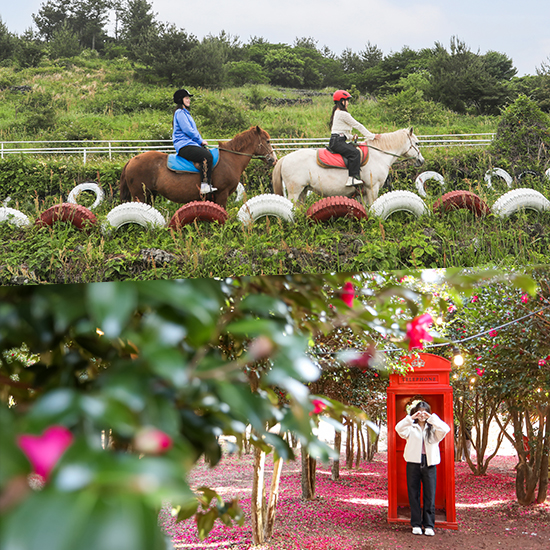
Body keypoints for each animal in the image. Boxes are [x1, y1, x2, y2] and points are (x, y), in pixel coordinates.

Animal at [119, 126, 278, 208]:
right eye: (268, 141)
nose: (274, 159)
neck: (230, 159)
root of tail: (131, 160)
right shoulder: (222, 194)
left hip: (150, 195)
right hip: (140, 196)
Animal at [272, 127, 426, 207]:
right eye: (417, 143)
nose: (421, 160)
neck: (379, 154)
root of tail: (285, 158)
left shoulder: (362, 192)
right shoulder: (372, 187)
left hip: (303, 191)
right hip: (294, 191)